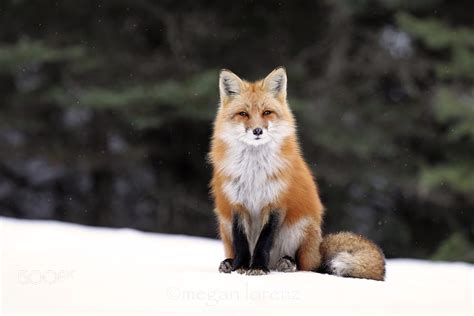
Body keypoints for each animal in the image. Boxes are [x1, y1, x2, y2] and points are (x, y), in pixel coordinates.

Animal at [208, 67, 386, 282]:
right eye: (243, 114)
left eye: (267, 113)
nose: (257, 131)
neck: (254, 172)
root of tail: (317, 250)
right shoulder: (236, 203)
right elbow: (241, 241)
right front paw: (240, 266)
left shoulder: (277, 202)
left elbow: (264, 241)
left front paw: (257, 267)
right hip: (224, 225)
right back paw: (228, 263)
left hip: (300, 228)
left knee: (306, 266)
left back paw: (287, 263)